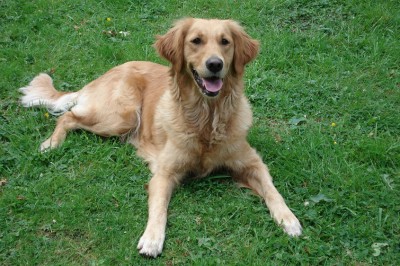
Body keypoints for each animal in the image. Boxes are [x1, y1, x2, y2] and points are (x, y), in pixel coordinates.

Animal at [18, 17, 300, 256]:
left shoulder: (251, 162)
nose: (215, 64)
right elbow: (159, 208)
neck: (206, 119)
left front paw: (289, 219)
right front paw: (152, 239)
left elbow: (272, 190)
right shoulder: (165, 172)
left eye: (225, 42)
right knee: (67, 117)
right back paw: (50, 144)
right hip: (122, 116)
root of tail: (104, 74)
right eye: (196, 41)